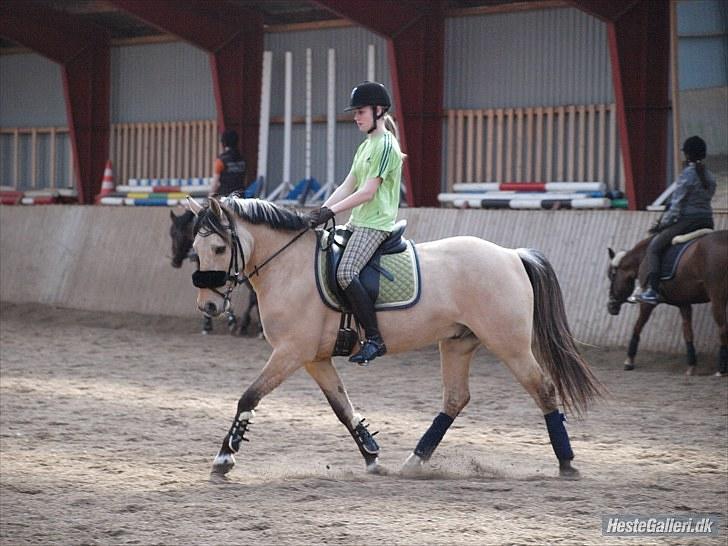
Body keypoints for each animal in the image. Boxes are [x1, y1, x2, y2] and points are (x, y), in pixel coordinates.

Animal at [188, 196, 604, 476]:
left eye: (220, 247)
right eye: (194, 249)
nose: (208, 306)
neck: (290, 267)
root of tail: (511, 255)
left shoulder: (291, 352)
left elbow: (249, 396)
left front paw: (225, 457)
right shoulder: (314, 358)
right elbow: (342, 408)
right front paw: (372, 455)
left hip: (509, 344)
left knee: (543, 388)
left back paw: (567, 462)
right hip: (458, 342)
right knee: (456, 398)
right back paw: (415, 460)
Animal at [608, 228, 728, 374]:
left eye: (611, 275)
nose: (611, 306)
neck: (643, 257)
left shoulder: (647, 304)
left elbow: (637, 327)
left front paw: (629, 361)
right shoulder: (684, 303)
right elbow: (688, 333)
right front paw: (691, 366)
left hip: (717, 297)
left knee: (723, 328)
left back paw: (721, 369)